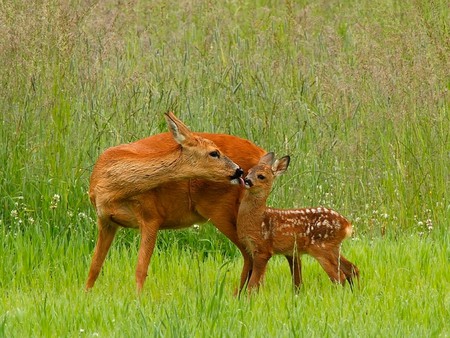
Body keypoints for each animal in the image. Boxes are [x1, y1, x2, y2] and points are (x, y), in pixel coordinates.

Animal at [237, 153, 360, 294]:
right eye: (249, 171)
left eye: (261, 176)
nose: (247, 180)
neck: (257, 218)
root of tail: (347, 225)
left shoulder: (264, 249)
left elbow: (252, 284)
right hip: (334, 247)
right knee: (352, 269)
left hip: (321, 247)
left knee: (339, 277)